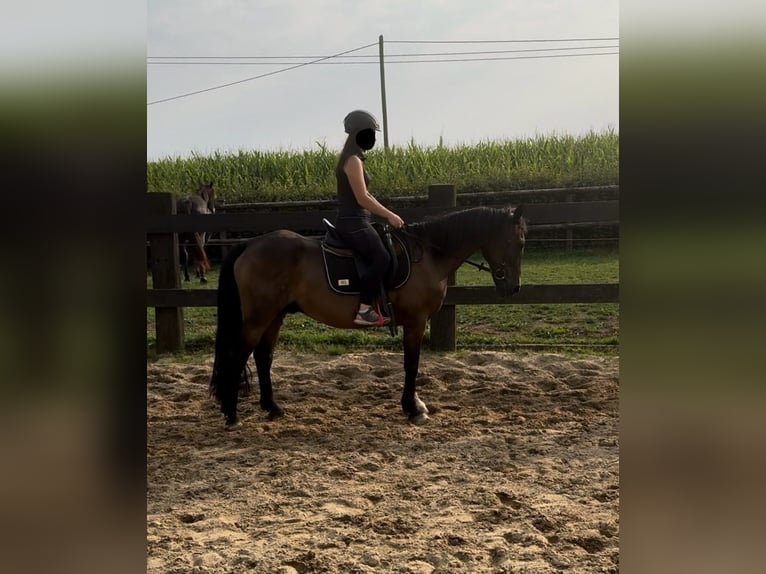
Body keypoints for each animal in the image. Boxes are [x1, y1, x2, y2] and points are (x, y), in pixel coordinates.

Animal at [210, 205, 528, 430]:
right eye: (521, 242)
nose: (513, 288)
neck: (428, 254)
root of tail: (250, 244)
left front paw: (414, 405)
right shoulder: (416, 321)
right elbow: (411, 365)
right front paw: (413, 409)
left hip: (274, 316)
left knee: (263, 357)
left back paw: (272, 407)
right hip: (258, 317)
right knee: (238, 356)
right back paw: (232, 414)